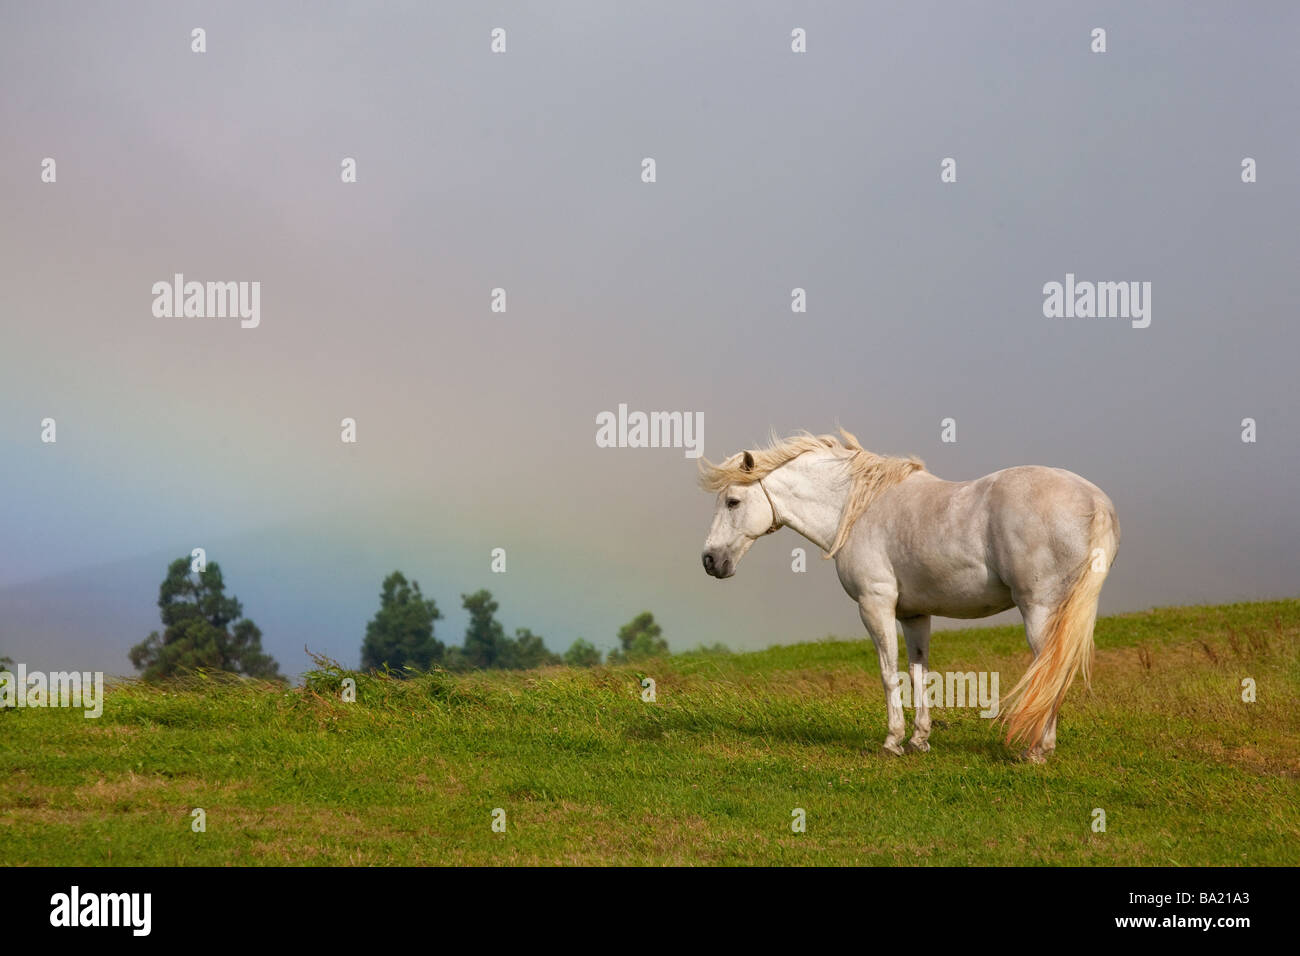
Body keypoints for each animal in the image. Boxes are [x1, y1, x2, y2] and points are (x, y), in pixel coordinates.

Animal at [702, 429, 1118, 764]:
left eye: (733, 501)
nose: (709, 560)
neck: (857, 509)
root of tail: (1096, 502)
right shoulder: (914, 615)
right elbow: (919, 673)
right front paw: (919, 739)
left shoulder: (875, 606)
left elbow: (889, 673)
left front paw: (892, 741)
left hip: (1039, 610)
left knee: (1051, 671)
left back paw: (1036, 751)